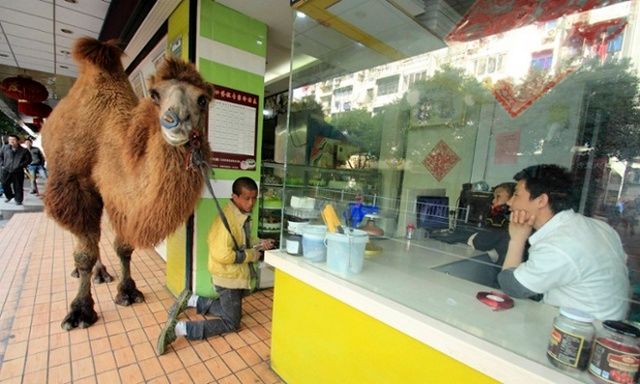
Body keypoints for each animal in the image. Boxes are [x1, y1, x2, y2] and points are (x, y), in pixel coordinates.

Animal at [41, 36, 214, 330]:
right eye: (154, 94)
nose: (175, 120)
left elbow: (123, 247)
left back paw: (101, 274)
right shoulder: (75, 186)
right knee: (83, 238)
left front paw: (128, 291)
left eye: (202, 99)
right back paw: (83, 273)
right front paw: (79, 311)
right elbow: (85, 252)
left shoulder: (117, 198)